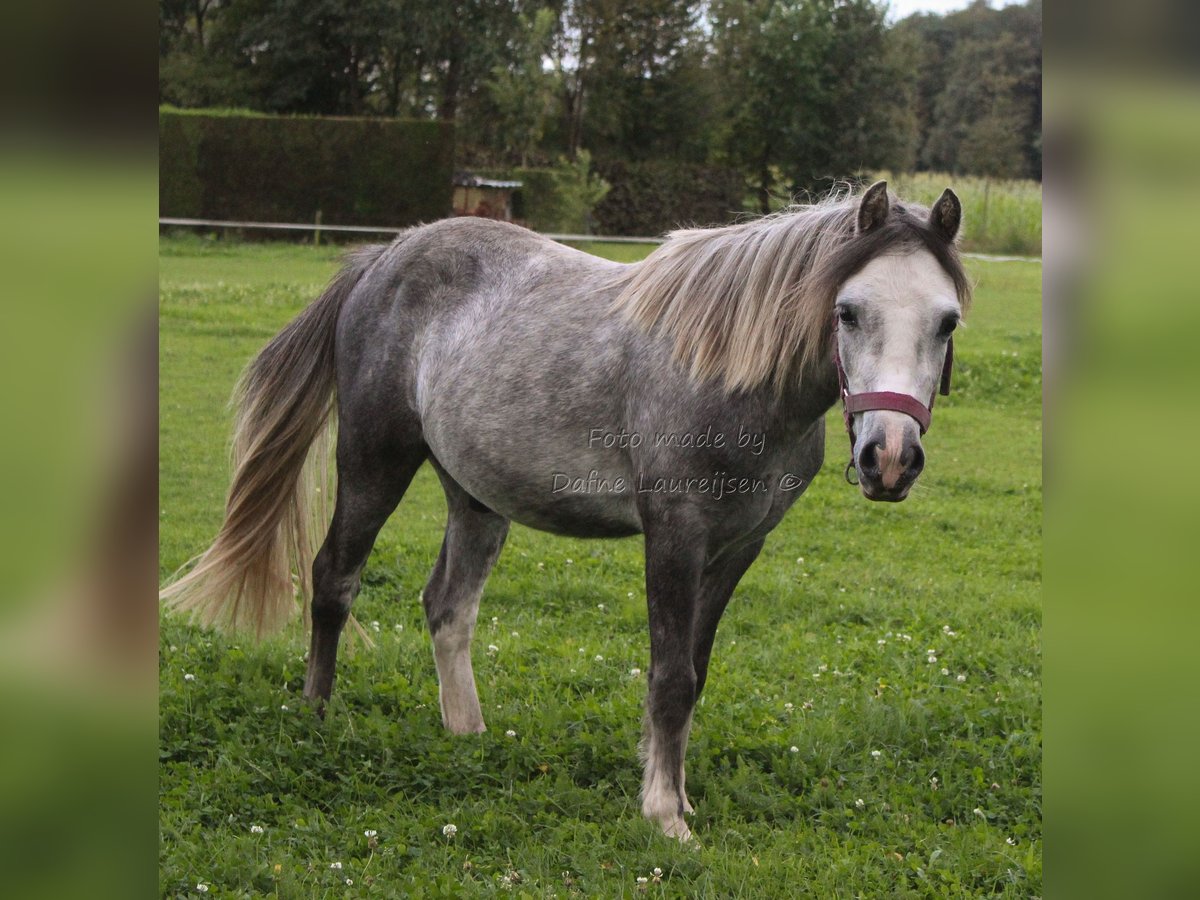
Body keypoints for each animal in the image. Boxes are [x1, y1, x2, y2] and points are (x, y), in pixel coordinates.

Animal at [162, 183, 964, 844]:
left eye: (947, 322)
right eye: (848, 312)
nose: (890, 459)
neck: (729, 374)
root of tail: (383, 258)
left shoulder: (739, 548)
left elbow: (695, 671)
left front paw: (673, 792)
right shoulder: (676, 535)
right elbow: (671, 676)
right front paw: (665, 816)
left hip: (476, 497)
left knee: (448, 606)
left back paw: (467, 733)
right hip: (373, 460)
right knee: (334, 579)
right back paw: (318, 716)